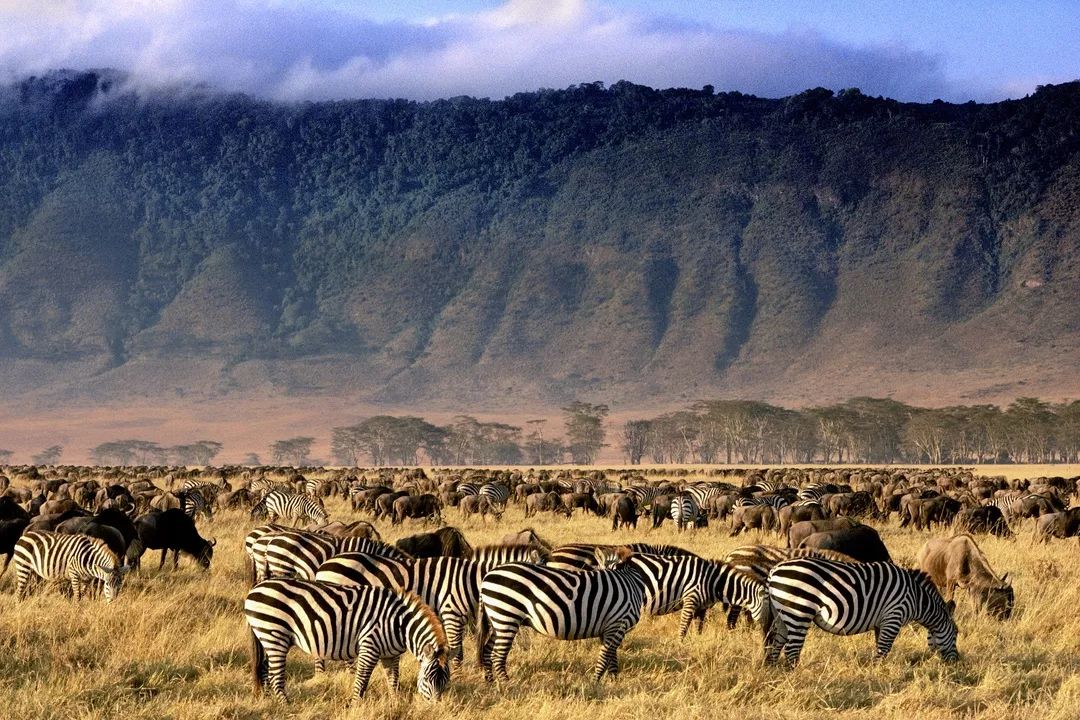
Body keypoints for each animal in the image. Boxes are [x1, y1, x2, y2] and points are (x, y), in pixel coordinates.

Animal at [244, 578, 447, 703]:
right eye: (427, 679)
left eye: (445, 682)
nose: (436, 707)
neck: (400, 624)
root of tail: (255, 589)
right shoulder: (369, 646)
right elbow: (361, 680)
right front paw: (355, 705)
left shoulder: (391, 654)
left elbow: (393, 680)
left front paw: (395, 702)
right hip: (274, 634)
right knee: (275, 676)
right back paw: (286, 705)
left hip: (269, 638)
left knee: (264, 668)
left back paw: (267, 699)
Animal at [764, 557, 959, 669]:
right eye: (956, 633)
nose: (957, 662)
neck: (917, 597)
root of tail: (774, 570)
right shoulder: (894, 615)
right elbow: (884, 648)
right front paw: (877, 674)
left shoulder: (883, 622)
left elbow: (880, 646)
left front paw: (879, 669)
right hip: (799, 611)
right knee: (791, 650)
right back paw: (795, 675)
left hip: (782, 614)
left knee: (777, 643)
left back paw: (775, 673)